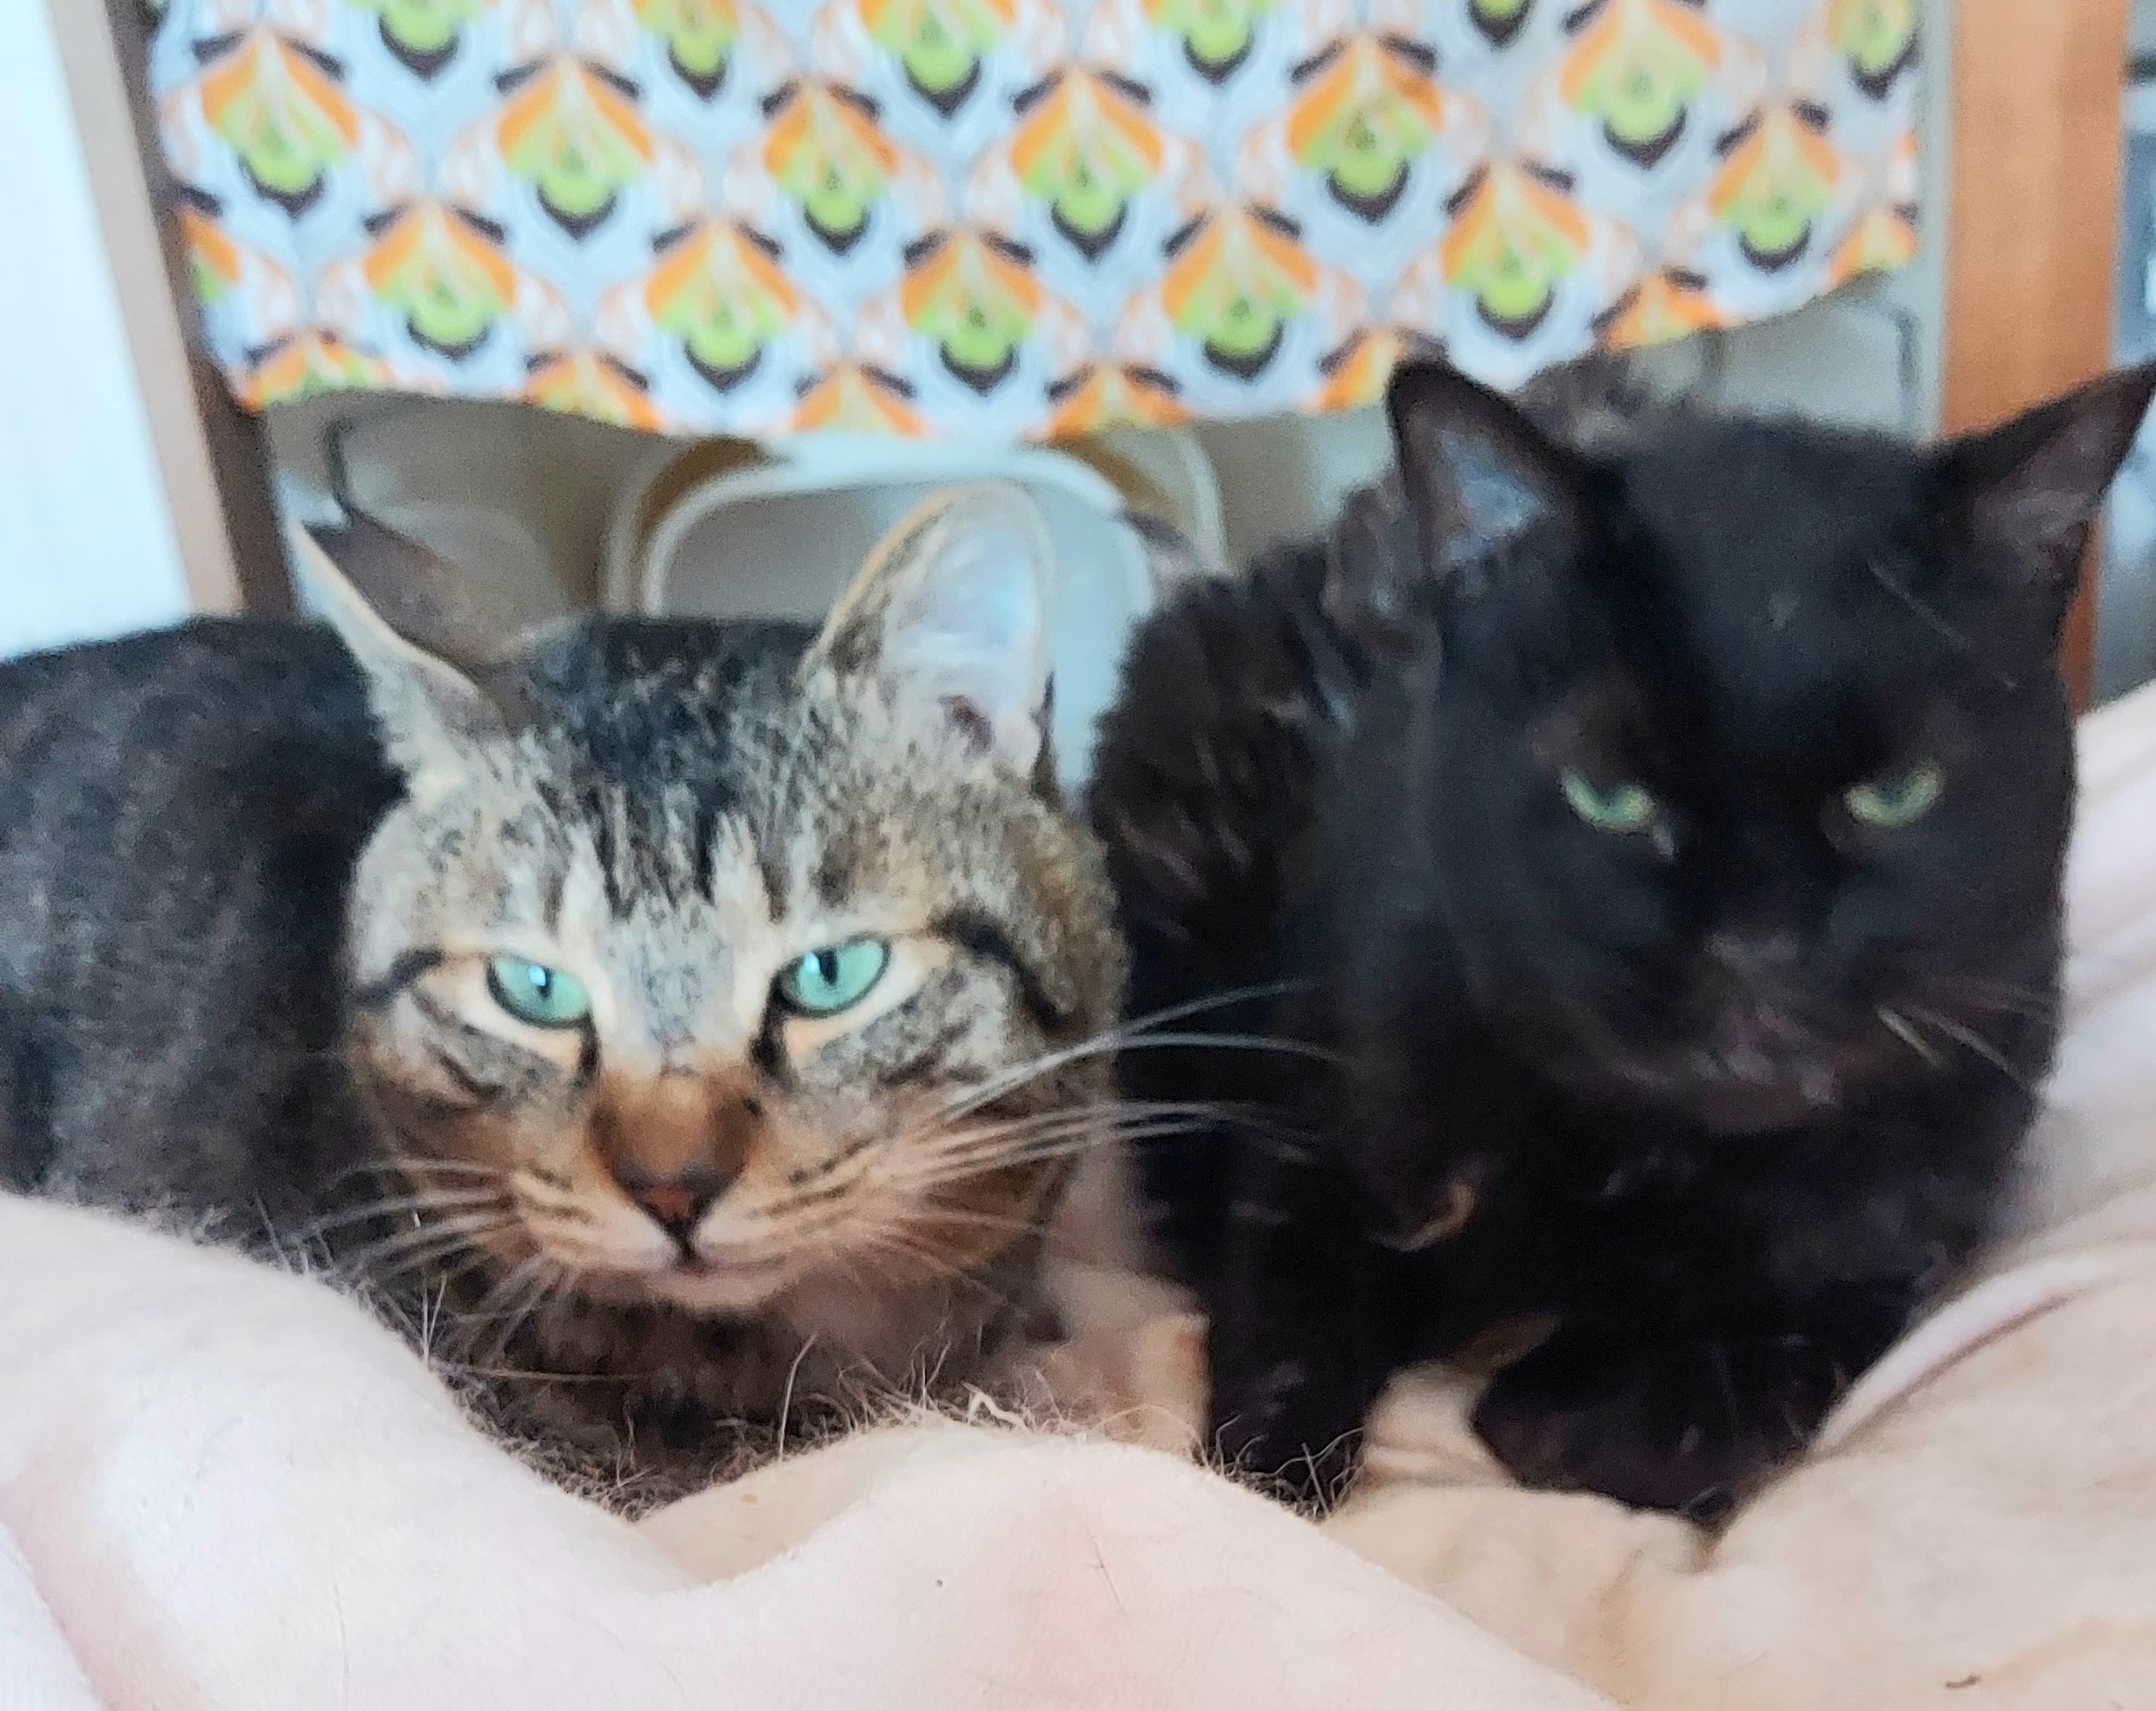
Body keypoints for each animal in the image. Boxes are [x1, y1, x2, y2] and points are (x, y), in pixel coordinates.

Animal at [1089, 357, 2156, 1516]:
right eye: (1607, 793)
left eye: (1893, 792)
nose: (1757, 947)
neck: (1638, 1160)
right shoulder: (1310, 1116)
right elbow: (1287, 1334)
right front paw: (1269, 1470)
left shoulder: (1906, 1214)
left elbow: (1735, 1376)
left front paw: (1567, 1398)